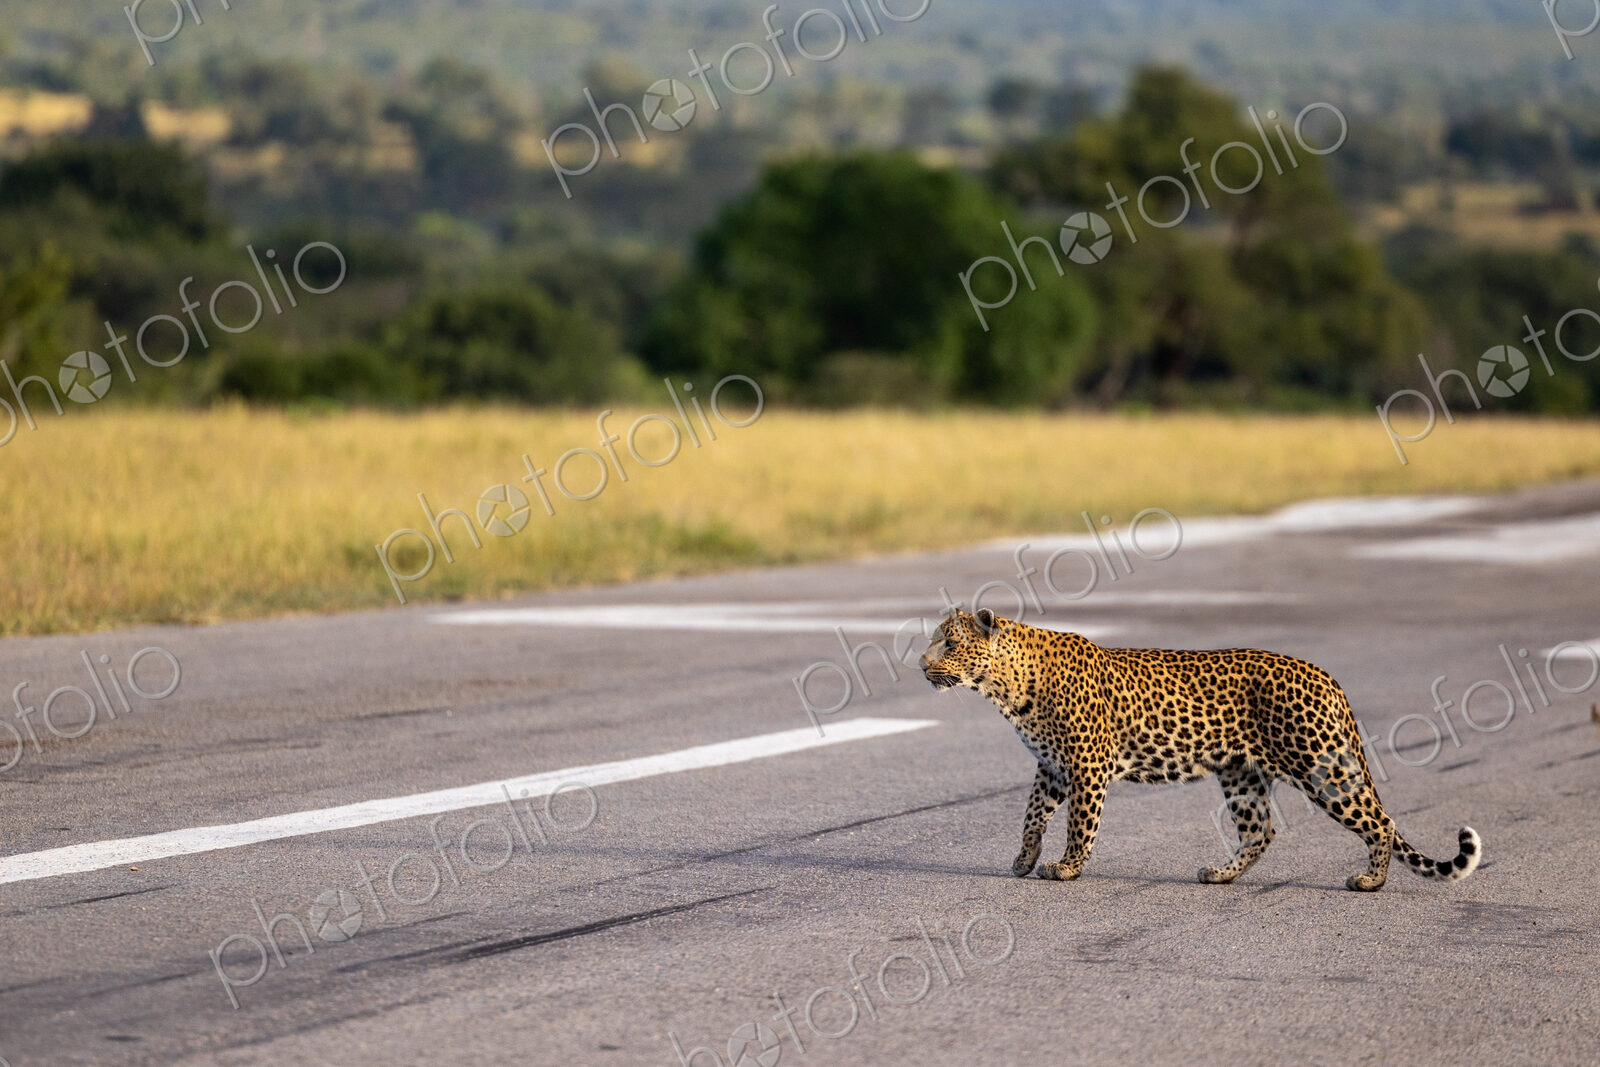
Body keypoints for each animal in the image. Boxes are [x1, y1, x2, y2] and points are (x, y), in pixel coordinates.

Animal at [920, 607, 1481, 891]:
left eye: (949, 643)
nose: (922, 666)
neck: (1005, 686)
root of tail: (1326, 675)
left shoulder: (1086, 765)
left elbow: (1080, 823)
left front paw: (1067, 868)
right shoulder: (1051, 767)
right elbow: (1032, 814)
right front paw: (1023, 858)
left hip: (1319, 762)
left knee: (1379, 820)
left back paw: (1370, 881)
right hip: (1241, 772)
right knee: (1261, 830)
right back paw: (1219, 874)